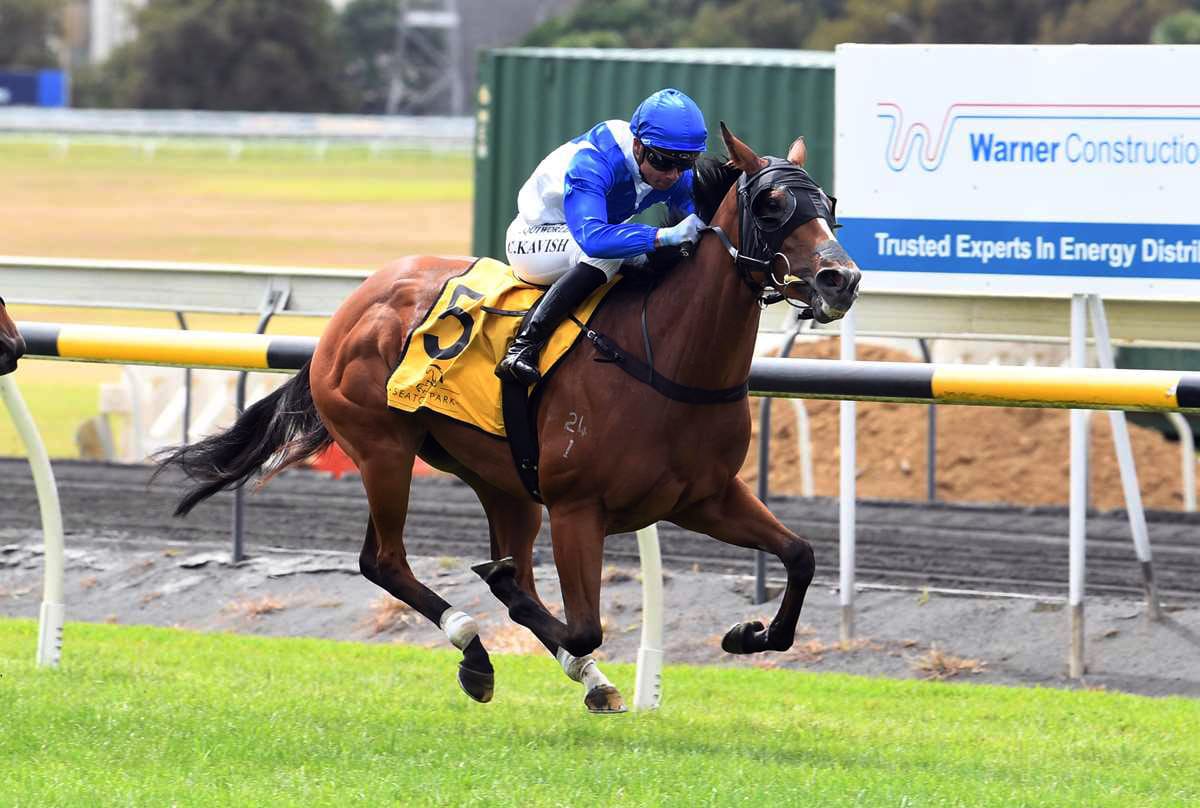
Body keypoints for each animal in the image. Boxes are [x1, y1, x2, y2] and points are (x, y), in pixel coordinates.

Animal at [158, 123, 862, 713]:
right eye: (771, 205)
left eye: (828, 204)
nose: (841, 279)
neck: (666, 355)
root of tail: (351, 308)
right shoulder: (579, 508)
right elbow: (582, 623)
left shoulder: (704, 497)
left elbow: (800, 555)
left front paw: (749, 633)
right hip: (384, 451)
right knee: (384, 561)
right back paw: (474, 647)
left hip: (503, 483)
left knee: (462, 557)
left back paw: (583, 675)